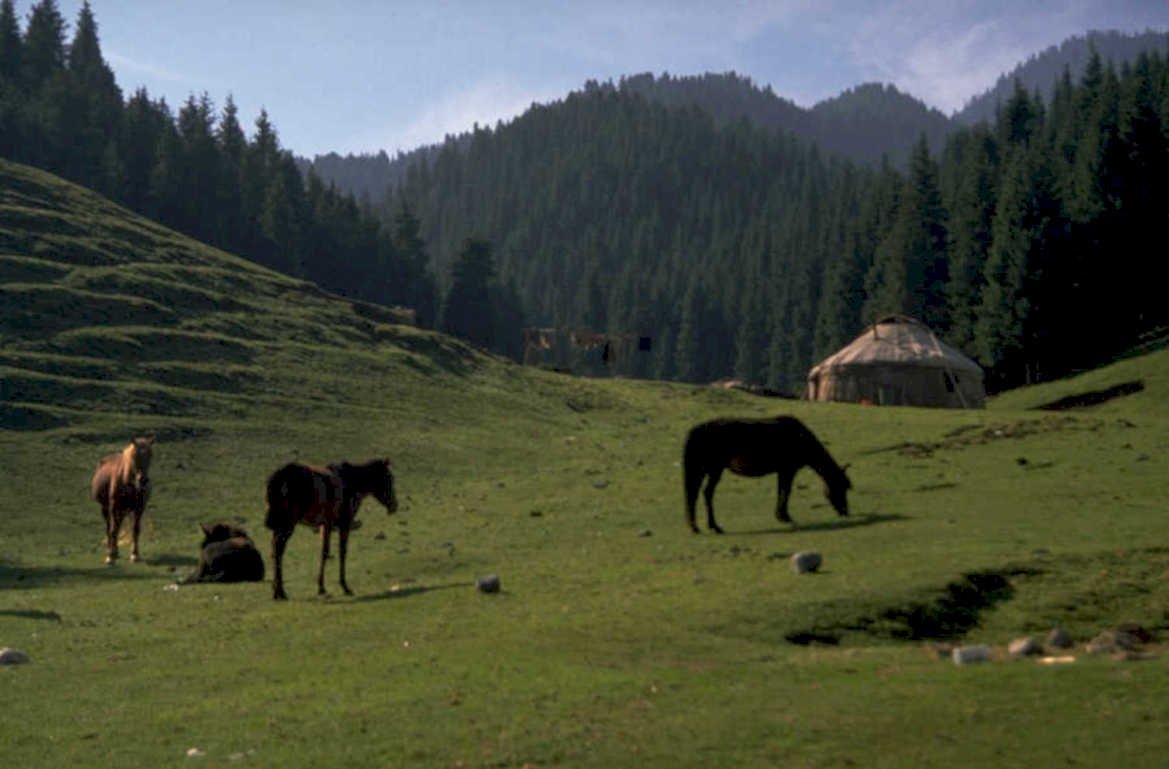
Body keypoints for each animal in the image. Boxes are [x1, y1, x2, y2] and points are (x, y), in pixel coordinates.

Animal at [90, 436, 155, 564]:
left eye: (150, 455)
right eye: (134, 456)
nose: (143, 480)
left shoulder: (139, 508)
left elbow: (135, 529)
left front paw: (135, 555)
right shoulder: (114, 507)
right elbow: (112, 530)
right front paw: (110, 556)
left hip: (123, 510)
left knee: (118, 525)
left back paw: (116, 551)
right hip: (106, 508)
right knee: (109, 527)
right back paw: (111, 551)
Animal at [264, 459, 399, 600]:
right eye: (389, 478)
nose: (394, 505)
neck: (352, 481)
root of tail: (281, 476)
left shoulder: (326, 525)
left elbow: (324, 552)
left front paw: (321, 587)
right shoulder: (344, 524)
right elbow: (342, 552)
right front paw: (344, 586)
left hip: (281, 523)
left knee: (275, 549)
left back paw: (277, 590)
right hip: (288, 523)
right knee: (279, 549)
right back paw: (280, 591)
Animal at [683, 416, 850, 533]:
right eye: (840, 487)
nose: (845, 512)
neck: (800, 439)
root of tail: (698, 430)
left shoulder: (783, 471)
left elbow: (781, 491)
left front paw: (780, 515)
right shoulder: (788, 470)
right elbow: (786, 491)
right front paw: (785, 516)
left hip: (707, 470)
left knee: (698, 494)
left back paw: (700, 527)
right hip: (713, 469)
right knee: (704, 493)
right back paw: (712, 527)